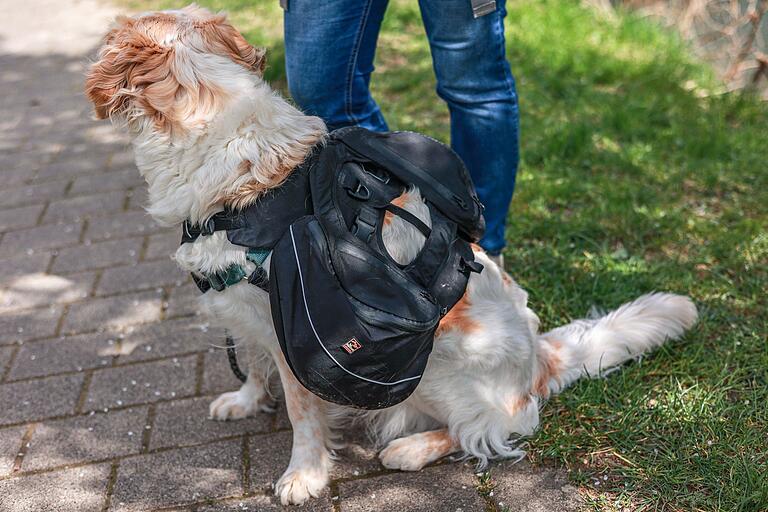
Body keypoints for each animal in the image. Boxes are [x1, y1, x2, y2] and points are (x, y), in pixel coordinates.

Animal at [85, 6, 704, 506]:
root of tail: (540, 361)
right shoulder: (244, 306)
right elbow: (253, 363)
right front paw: (244, 400)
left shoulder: (297, 335)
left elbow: (304, 415)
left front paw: (304, 475)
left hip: (441, 364)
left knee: (499, 425)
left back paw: (411, 448)